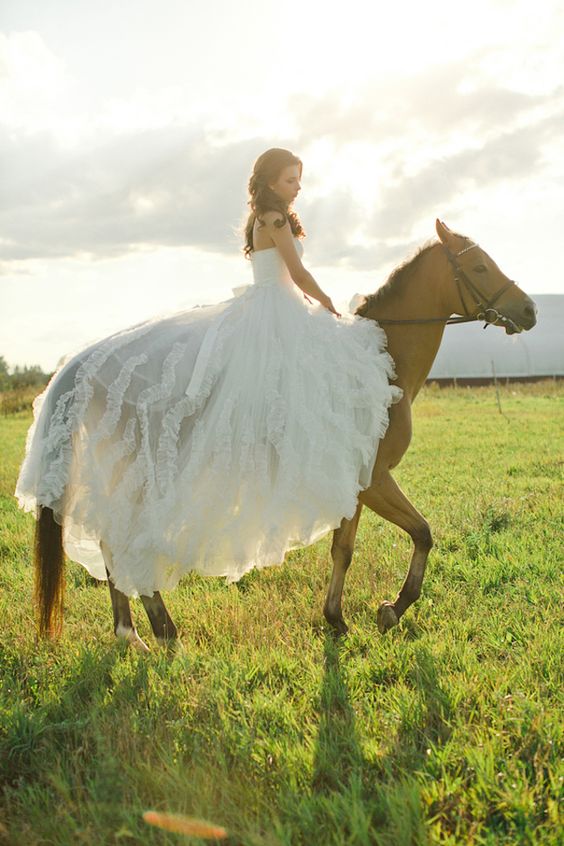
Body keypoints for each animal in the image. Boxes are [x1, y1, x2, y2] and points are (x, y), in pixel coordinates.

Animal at [34, 220, 536, 648]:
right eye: (479, 266)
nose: (530, 310)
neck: (382, 361)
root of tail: (82, 366)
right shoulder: (373, 480)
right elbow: (421, 533)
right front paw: (391, 608)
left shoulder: (354, 484)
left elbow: (344, 548)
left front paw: (338, 618)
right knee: (123, 539)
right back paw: (162, 631)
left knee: (110, 540)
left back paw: (130, 633)